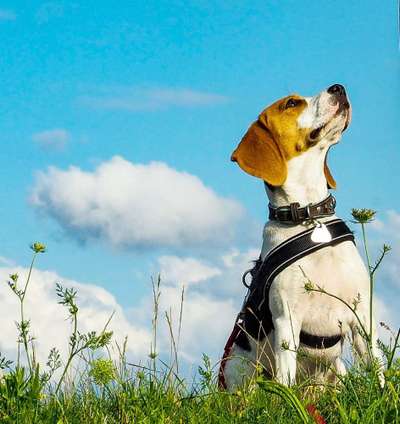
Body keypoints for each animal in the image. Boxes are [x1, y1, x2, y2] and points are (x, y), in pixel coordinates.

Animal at [223, 84, 382, 390]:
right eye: (291, 104)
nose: (338, 87)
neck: (309, 215)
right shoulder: (287, 319)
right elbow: (286, 380)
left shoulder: (362, 315)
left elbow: (379, 370)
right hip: (241, 371)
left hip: (338, 372)